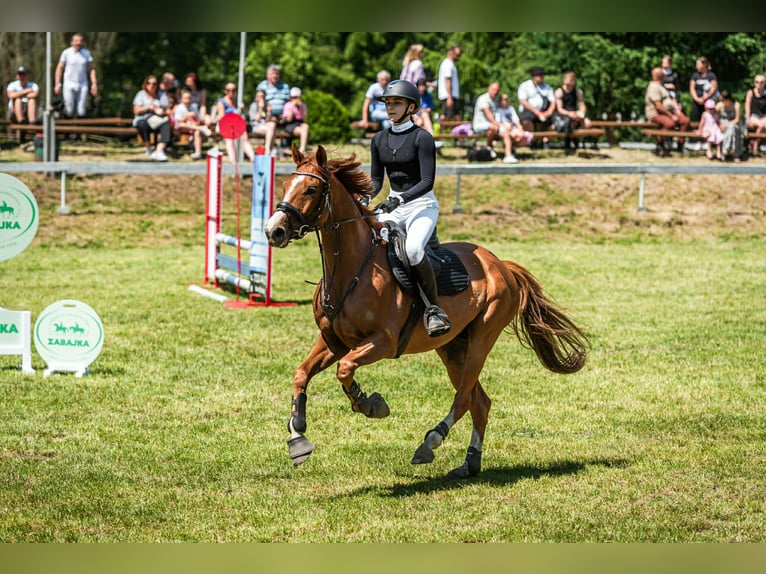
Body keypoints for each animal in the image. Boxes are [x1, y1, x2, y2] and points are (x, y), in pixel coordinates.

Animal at [264, 143, 590, 479]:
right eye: (286, 185)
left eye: (311, 189)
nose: (273, 230)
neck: (352, 269)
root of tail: (501, 264)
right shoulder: (333, 341)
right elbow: (302, 373)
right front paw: (298, 436)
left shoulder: (382, 342)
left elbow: (345, 368)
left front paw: (370, 405)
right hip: (452, 347)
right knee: (479, 402)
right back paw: (469, 463)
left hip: (482, 338)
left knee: (464, 398)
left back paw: (430, 442)